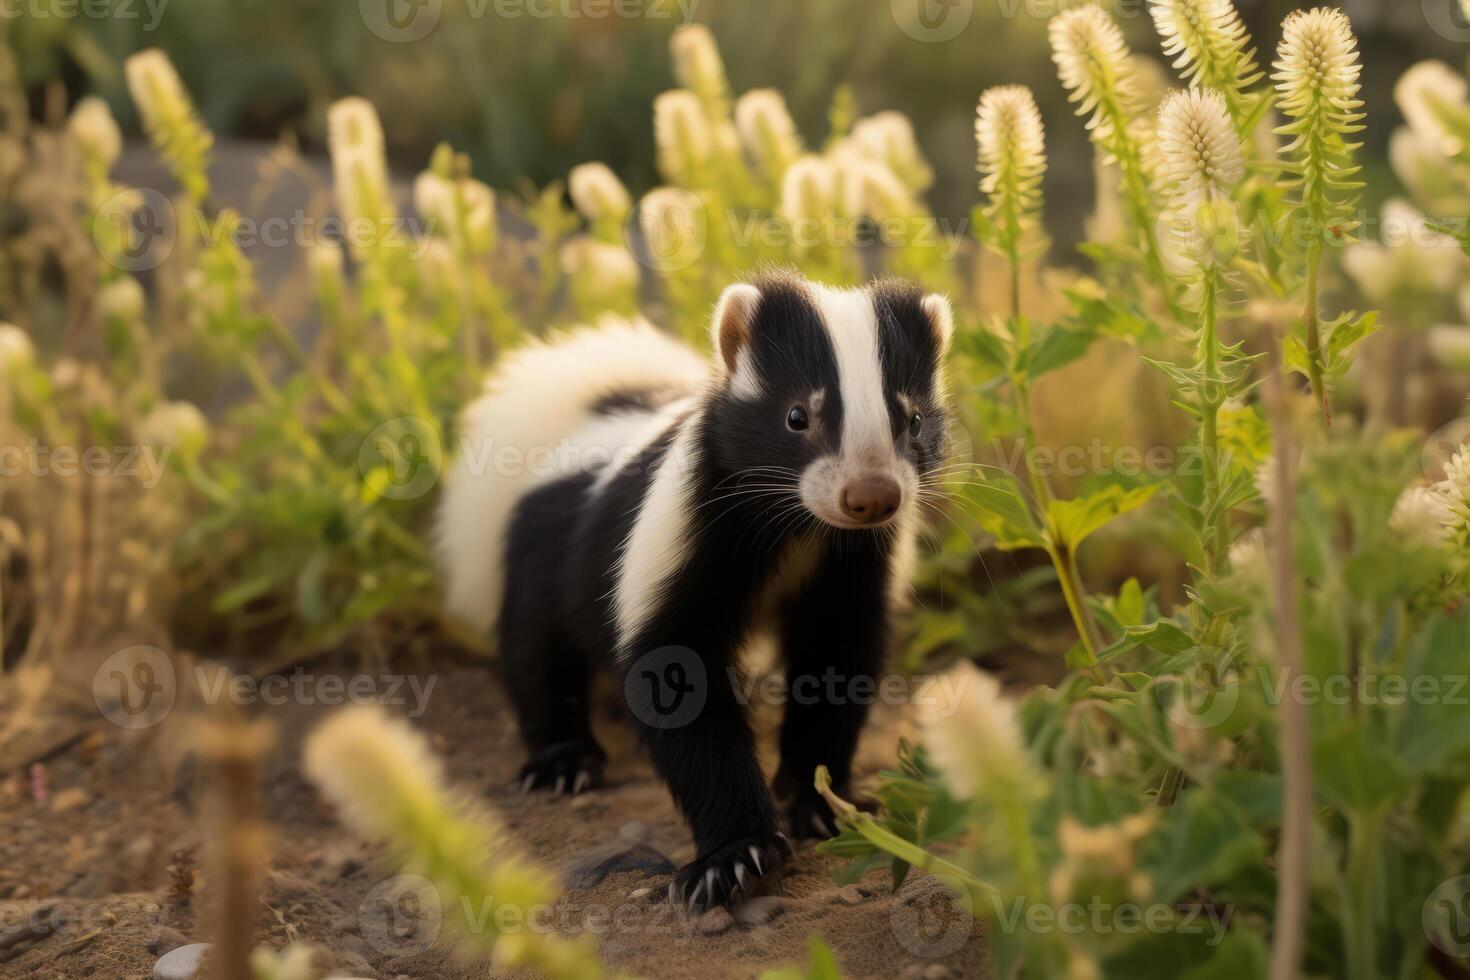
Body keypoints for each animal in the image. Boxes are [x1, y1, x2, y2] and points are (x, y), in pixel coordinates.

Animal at [435, 268, 952, 910]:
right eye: (797, 416)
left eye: (912, 420)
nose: (872, 495)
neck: (795, 528)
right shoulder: (682, 538)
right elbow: (676, 674)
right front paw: (734, 857)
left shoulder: (848, 569)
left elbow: (834, 664)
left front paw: (824, 804)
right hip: (539, 554)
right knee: (535, 651)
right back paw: (562, 762)